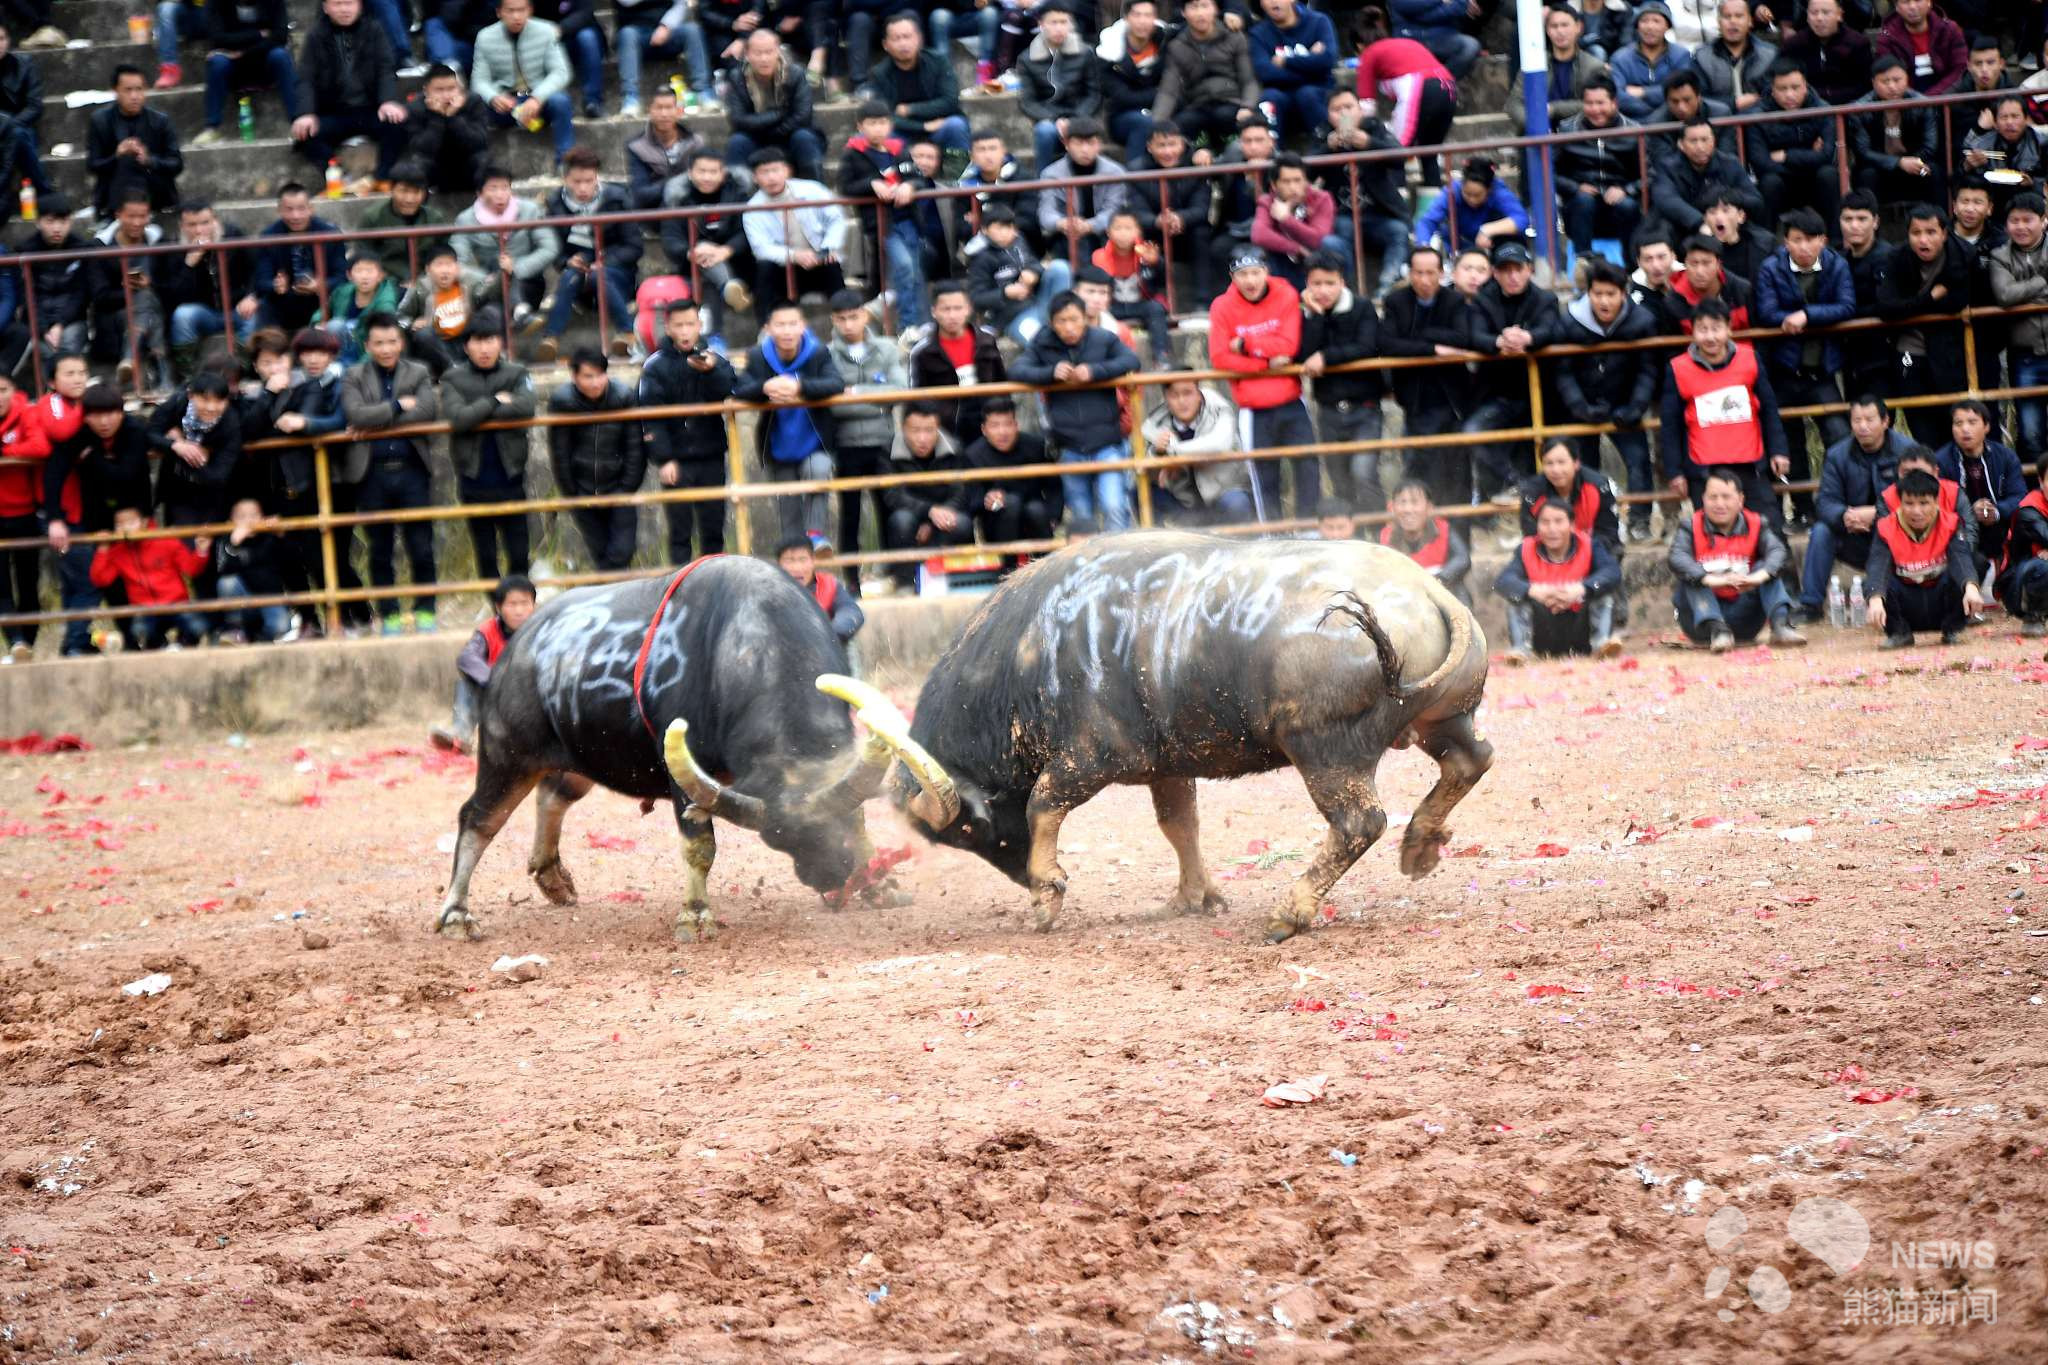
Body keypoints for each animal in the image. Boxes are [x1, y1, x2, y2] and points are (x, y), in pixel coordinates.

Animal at [440, 556, 950, 941]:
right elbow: (700, 846)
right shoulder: (684, 776)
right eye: (779, 840)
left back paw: (552, 877)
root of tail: (516, 649)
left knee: (552, 796)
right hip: (507, 756)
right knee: (478, 819)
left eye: (833, 826)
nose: (830, 877)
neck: (748, 646)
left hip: (578, 760)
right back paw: (457, 916)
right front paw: (696, 914)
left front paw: (878, 883)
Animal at [823, 532, 1499, 941]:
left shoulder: (1089, 758)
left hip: (1326, 752)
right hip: (1443, 721)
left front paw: (1046, 893)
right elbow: (1180, 825)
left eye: (966, 830)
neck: (1036, 647)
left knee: (1359, 822)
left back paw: (1291, 911)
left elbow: (1043, 804)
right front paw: (1194, 897)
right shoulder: (1169, 764)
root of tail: (1431, 593)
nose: (1016, 876)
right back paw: (1421, 845)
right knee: (1472, 761)